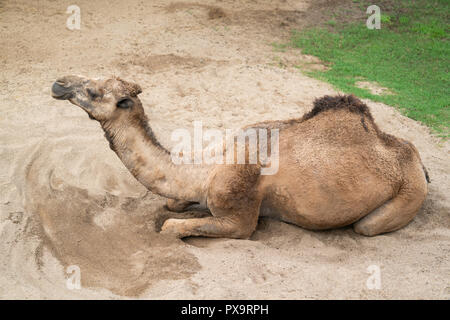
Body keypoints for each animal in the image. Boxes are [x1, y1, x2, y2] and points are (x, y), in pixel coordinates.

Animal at [51, 75, 430, 239]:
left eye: (93, 91)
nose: (59, 83)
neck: (208, 167)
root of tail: (418, 162)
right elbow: (173, 205)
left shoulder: (238, 216)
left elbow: (171, 227)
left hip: (407, 196)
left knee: (366, 226)